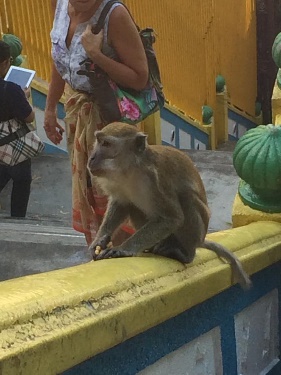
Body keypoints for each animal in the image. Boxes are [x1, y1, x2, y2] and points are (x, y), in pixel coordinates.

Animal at [86, 122, 250, 290]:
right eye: (98, 141)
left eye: (106, 144)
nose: (92, 157)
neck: (131, 169)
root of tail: (201, 239)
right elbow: (121, 204)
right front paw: (100, 240)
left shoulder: (157, 180)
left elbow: (172, 218)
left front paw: (122, 248)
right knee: (134, 206)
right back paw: (156, 246)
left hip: (196, 232)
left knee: (186, 198)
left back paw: (186, 254)